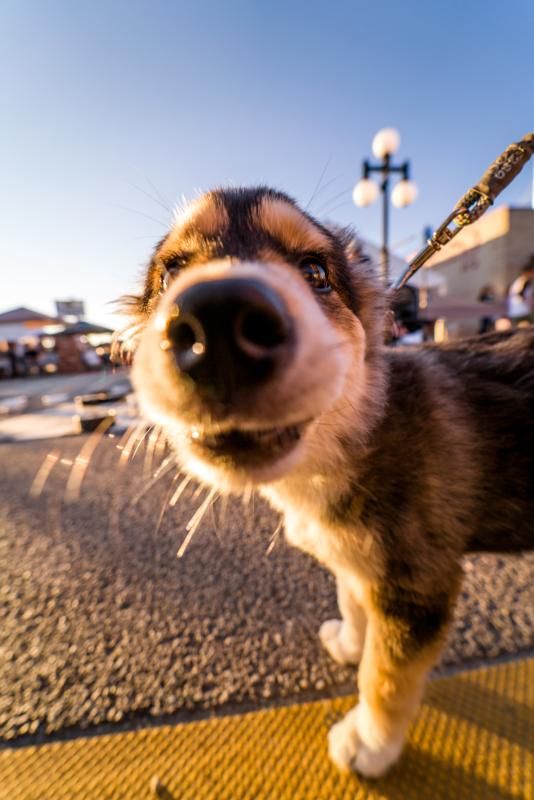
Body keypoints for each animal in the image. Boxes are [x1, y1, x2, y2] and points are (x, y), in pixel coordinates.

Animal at [124, 186, 534, 776]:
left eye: (315, 271)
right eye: (171, 272)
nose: (216, 323)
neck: (357, 435)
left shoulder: (420, 583)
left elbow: (386, 677)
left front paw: (369, 745)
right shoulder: (362, 558)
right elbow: (351, 596)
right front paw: (350, 641)